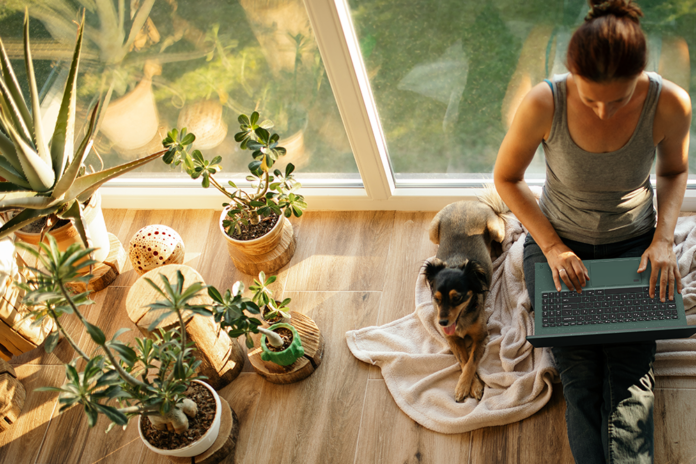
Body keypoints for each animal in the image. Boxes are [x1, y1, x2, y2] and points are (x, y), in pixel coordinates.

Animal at [422, 189, 508, 402]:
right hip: (433, 231)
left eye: (457, 298)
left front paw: (466, 387)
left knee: (501, 223)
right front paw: (470, 385)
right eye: (436, 299)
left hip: (496, 230)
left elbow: (471, 361)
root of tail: (466, 201)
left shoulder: (481, 336)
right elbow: (463, 360)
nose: (442, 322)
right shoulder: (452, 339)